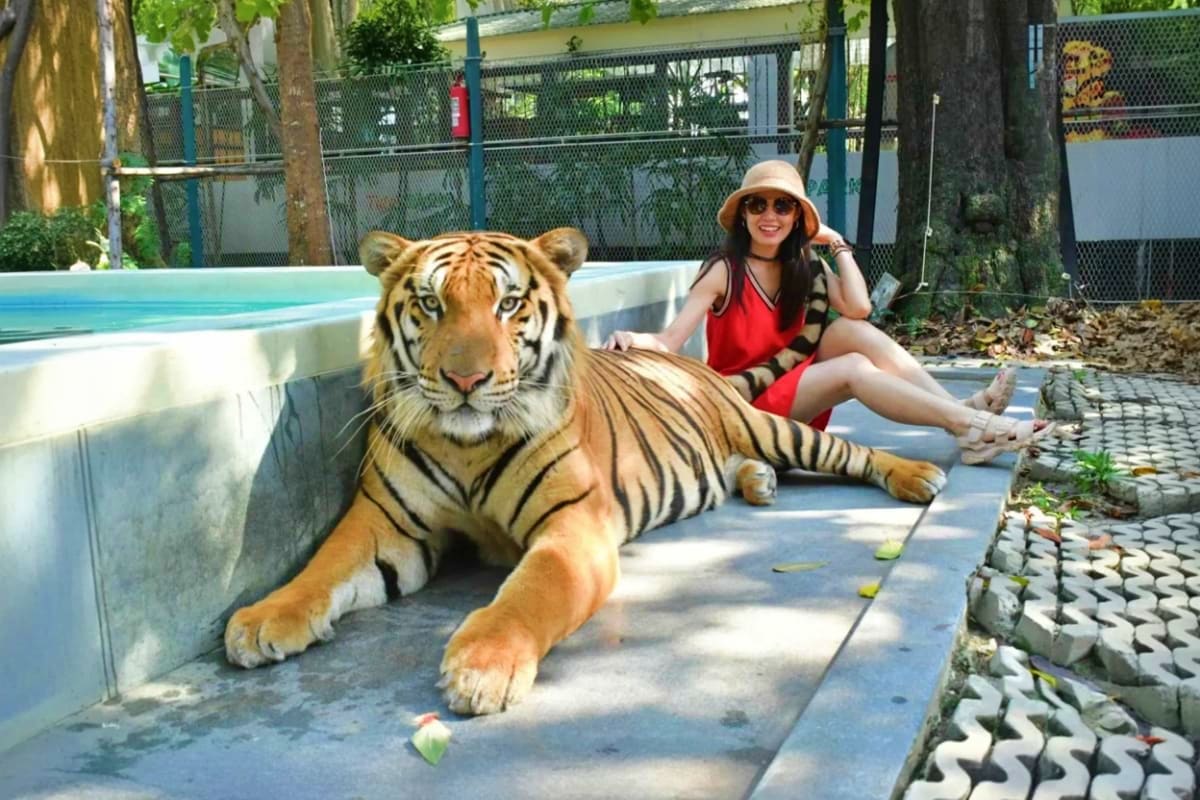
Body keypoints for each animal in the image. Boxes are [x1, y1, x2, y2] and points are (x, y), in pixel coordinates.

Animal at [224, 227, 947, 715]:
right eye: (430, 305)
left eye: (509, 305)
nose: (465, 380)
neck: (466, 445)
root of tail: (697, 365)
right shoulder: (384, 522)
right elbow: (323, 565)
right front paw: (262, 619)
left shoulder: (573, 526)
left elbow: (531, 590)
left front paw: (483, 665)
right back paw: (759, 483)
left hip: (772, 426)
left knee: (848, 453)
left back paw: (919, 474)